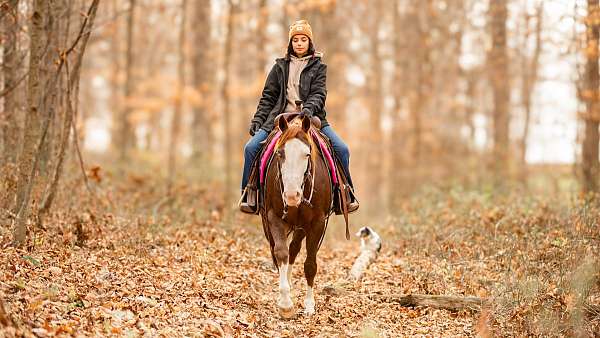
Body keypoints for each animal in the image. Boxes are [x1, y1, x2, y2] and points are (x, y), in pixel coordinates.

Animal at [258, 113, 332, 316]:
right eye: (280, 153)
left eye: (306, 154)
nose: (292, 196)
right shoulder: (273, 217)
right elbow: (281, 253)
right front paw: (285, 303)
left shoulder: (317, 223)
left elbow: (310, 264)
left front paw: (309, 305)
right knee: (287, 252)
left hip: (302, 227)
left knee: (295, 249)